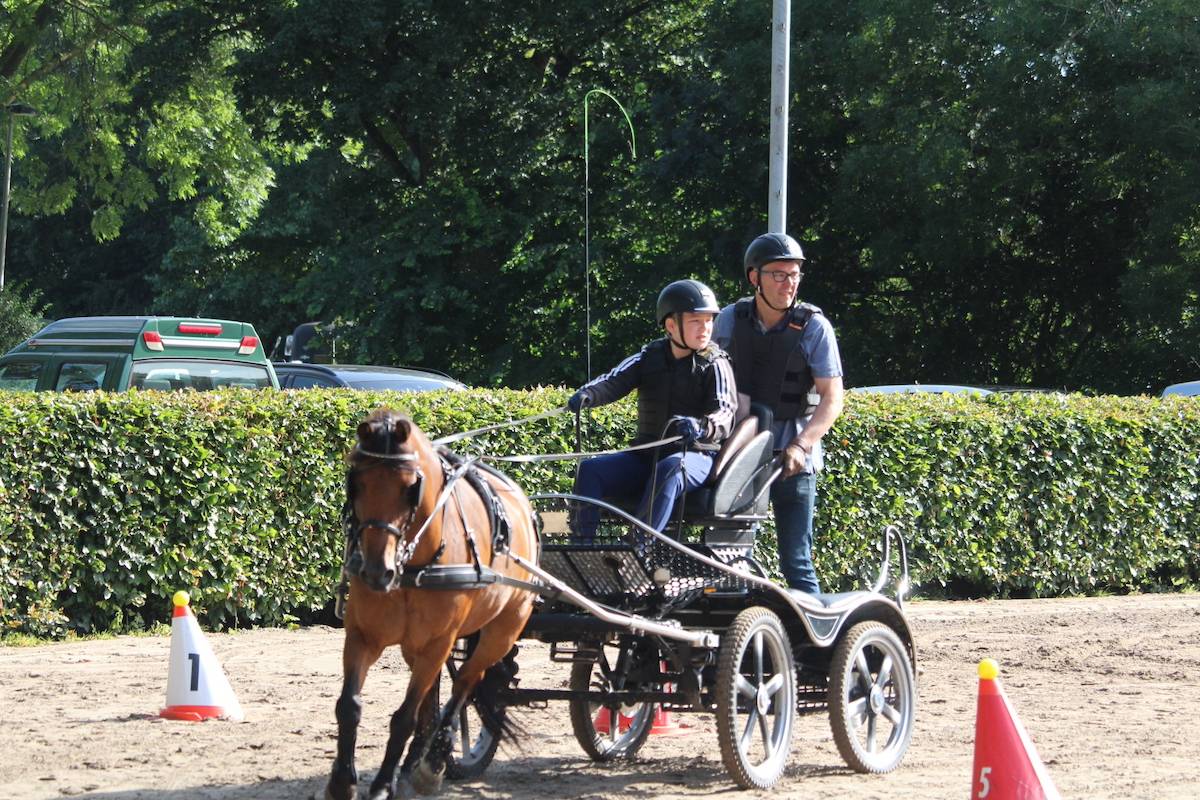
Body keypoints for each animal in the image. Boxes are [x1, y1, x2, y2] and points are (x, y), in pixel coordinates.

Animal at [324, 410, 540, 796]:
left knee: (465, 683)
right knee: (437, 690)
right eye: (355, 483)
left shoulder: (437, 643)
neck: (413, 565)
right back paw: (415, 758)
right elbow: (349, 707)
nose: (376, 571)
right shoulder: (363, 636)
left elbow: (404, 717)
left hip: (500, 632)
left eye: (411, 488)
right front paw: (342, 781)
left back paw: (434, 760)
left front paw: (383, 784)